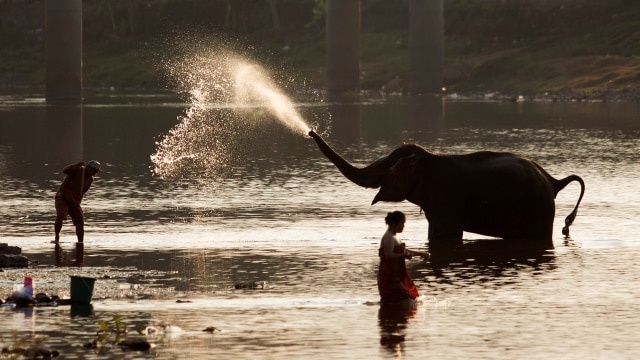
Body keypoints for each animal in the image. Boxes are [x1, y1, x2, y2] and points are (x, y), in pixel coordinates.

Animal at [308, 131, 584, 252]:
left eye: (385, 170)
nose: (310, 131)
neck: (429, 158)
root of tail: (553, 180)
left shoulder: (446, 199)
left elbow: (445, 235)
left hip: (538, 210)